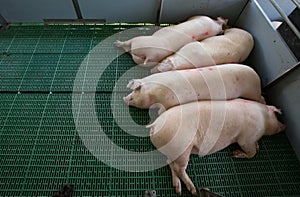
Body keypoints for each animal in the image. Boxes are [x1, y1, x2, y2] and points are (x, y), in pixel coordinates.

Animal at [123, 63, 264, 112]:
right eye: (133, 92)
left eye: (133, 97)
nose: (124, 99)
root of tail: (257, 75)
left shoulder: (169, 100)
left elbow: (163, 109)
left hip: (252, 91)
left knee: (261, 98)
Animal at [148, 99, 286, 195]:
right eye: (276, 116)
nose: (284, 125)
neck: (263, 119)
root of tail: (155, 125)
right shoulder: (247, 138)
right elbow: (252, 153)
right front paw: (234, 153)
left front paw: (256, 146)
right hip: (182, 146)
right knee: (179, 168)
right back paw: (193, 190)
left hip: (174, 149)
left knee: (170, 163)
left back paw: (178, 189)